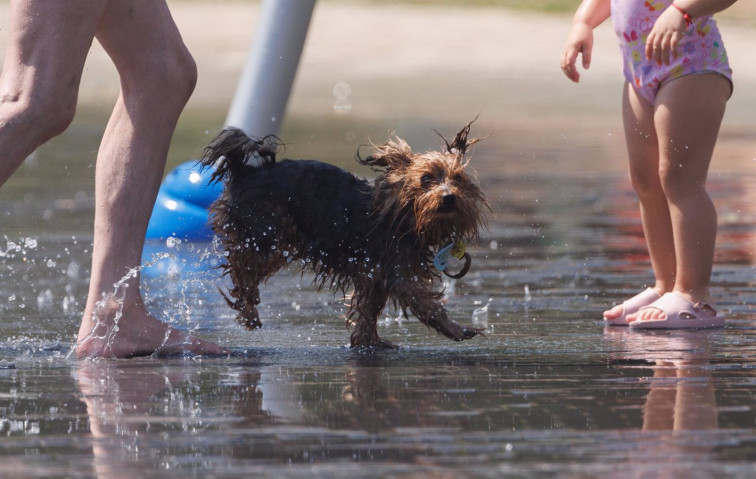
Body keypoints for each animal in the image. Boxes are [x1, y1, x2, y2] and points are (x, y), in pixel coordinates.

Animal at [201, 121, 488, 348]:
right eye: (426, 179)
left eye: (458, 179)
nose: (449, 197)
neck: (406, 219)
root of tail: (245, 171)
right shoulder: (396, 270)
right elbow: (427, 304)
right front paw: (457, 328)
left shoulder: (374, 275)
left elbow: (368, 311)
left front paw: (368, 341)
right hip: (265, 236)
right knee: (242, 269)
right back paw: (249, 311)